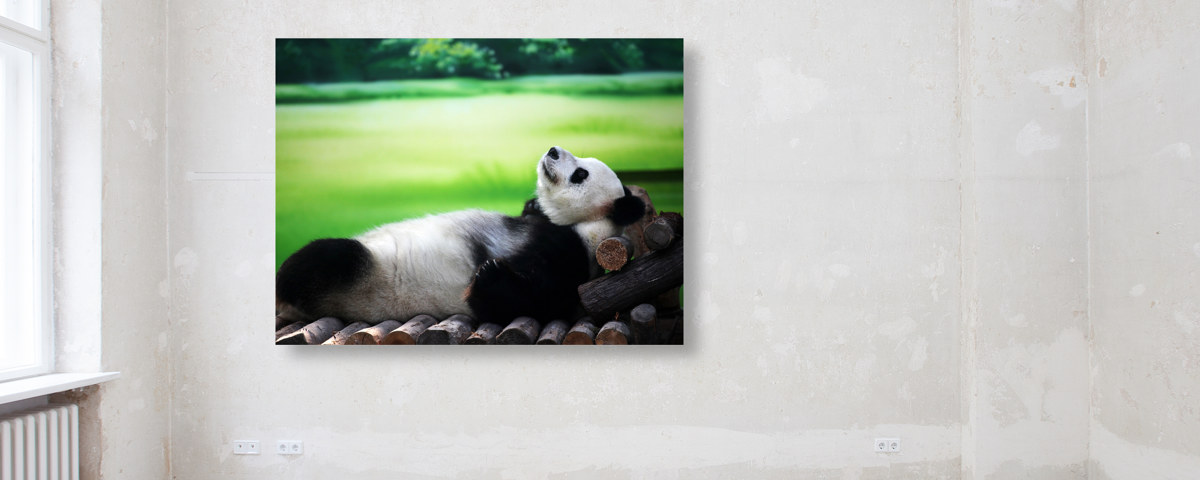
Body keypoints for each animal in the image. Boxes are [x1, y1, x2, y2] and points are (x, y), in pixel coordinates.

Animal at [275, 146, 646, 327]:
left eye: (580, 174)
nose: (553, 150)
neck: (586, 225)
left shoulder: (572, 256)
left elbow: (530, 301)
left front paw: (490, 274)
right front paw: (531, 205)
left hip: (359, 277)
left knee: (326, 257)